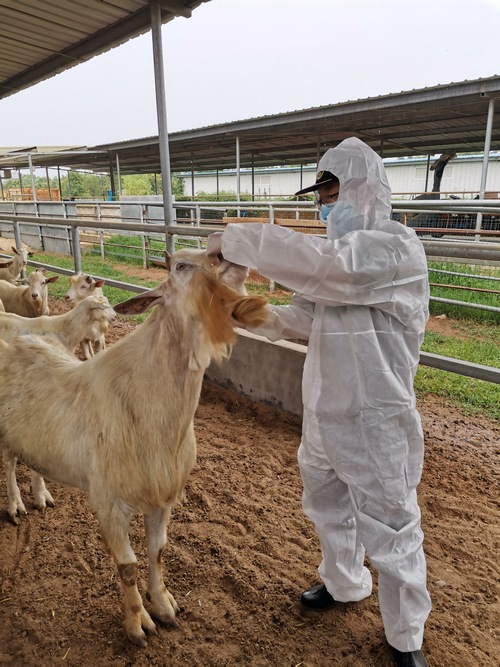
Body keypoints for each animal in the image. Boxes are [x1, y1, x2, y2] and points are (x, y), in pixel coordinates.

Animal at [0, 250, 270, 648]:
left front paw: (165, 605)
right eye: (181, 266)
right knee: (8, 463)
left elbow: (157, 553)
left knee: (31, 459)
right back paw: (16, 504)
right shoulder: (108, 503)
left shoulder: (162, 499)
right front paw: (138, 624)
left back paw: (41, 494)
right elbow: (127, 567)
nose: (231, 255)